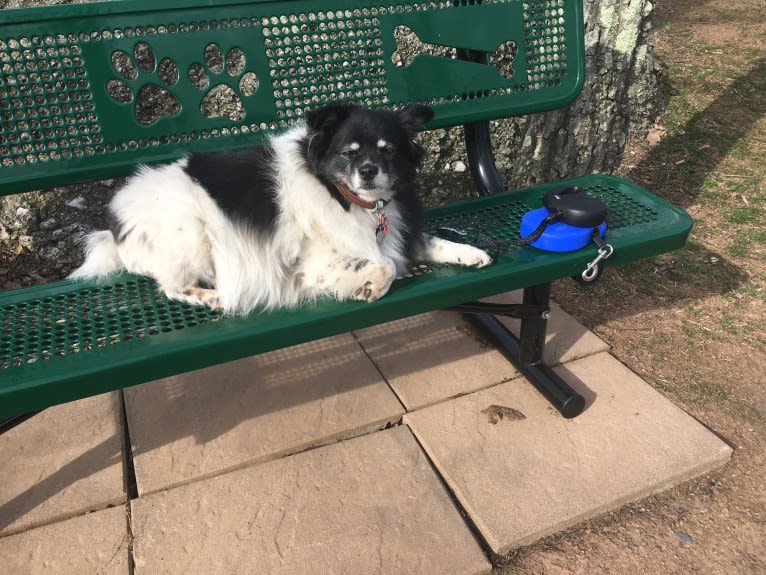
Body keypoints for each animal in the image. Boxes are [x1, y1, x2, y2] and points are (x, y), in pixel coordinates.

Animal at [70, 102, 492, 316]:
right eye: (348, 153)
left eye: (387, 150)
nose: (369, 170)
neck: (347, 197)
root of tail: (115, 224)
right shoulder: (314, 266)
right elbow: (384, 264)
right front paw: (369, 287)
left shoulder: (399, 235)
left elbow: (430, 243)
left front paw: (471, 253)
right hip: (191, 231)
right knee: (172, 287)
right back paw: (214, 297)